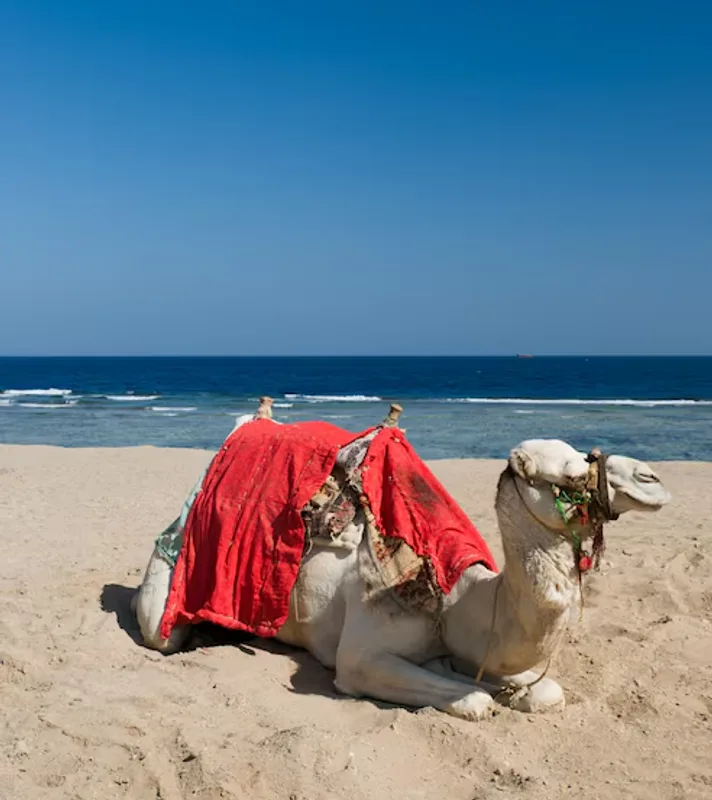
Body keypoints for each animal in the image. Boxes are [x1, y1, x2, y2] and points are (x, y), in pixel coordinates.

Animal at [133, 403, 670, 720]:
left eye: (584, 452)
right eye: (570, 475)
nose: (652, 478)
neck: (455, 598)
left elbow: (544, 691)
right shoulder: (359, 656)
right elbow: (474, 700)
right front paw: (477, 695)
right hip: (170, 578)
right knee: (161, 629)